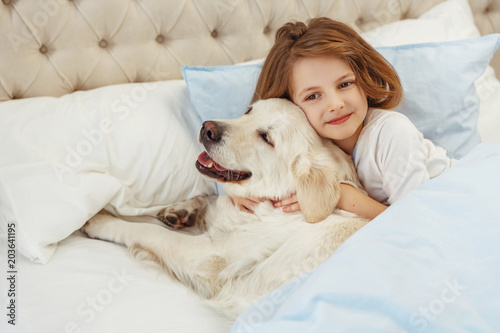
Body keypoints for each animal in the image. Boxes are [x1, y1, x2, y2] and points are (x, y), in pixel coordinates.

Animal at [82, 98, 370, 320]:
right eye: (248, 110)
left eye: (266, 138)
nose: (207, 128)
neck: (272, 203)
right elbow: (208, 197)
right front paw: (181, 210)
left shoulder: (208, 256)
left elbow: (145, 231)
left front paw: (99, 220)